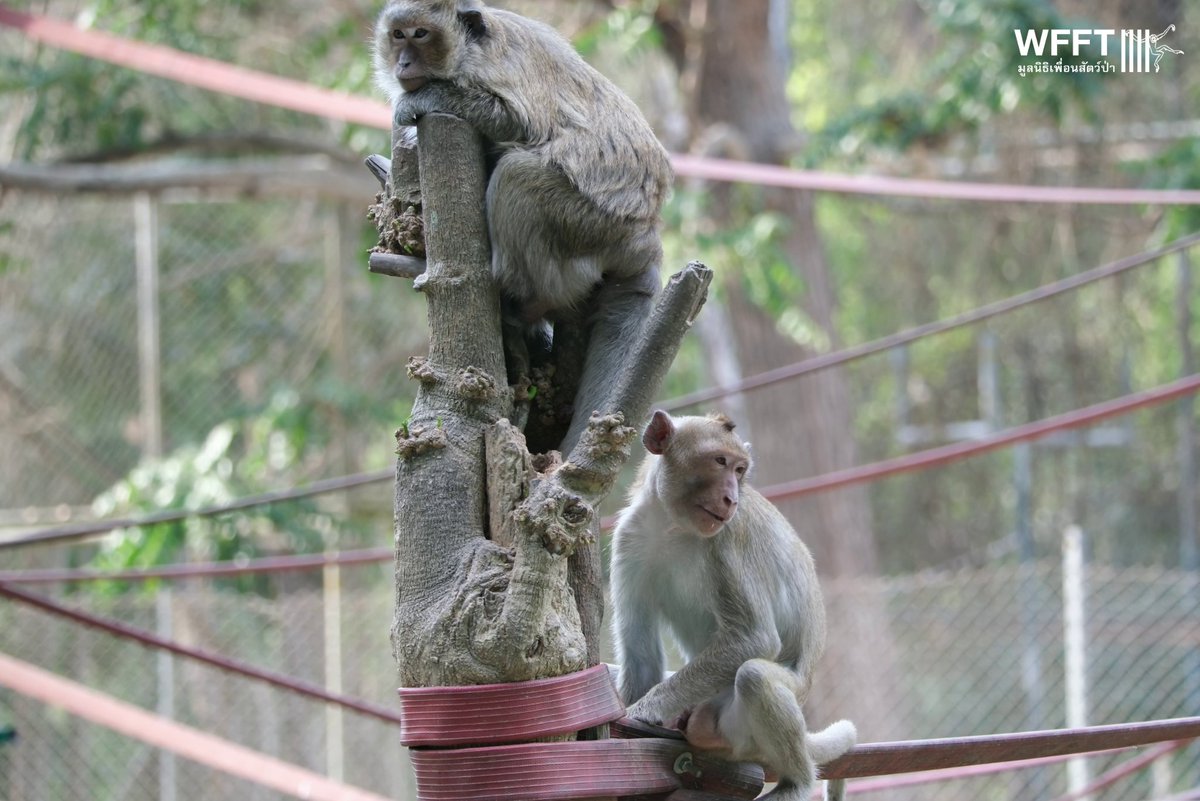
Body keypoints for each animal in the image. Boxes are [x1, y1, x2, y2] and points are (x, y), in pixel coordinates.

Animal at [373, 0, 673, 453]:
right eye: (398, 35)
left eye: (421, 34)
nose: (404, 62)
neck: (467, 51)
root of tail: (647, 234)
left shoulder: (493, 70)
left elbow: (516, 123)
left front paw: (424, 99)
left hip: (589, 223)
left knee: (517, 174)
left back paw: (520, 301)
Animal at [610, 410, 856, 800]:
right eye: (719, 462)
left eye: (740, 470)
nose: (731, 498)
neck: (673, 526)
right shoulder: (630, 538)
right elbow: (640, 656)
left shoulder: (728, 539)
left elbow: (755, 639)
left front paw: (644, 710)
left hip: (743, 725)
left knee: (755, 676)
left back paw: (796, 783)